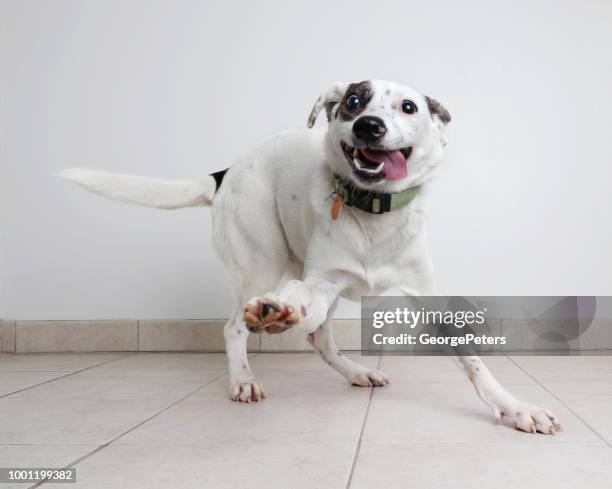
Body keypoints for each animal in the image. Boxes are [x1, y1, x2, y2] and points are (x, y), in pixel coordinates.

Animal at [63, 80, 564, 434]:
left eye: (408, 107)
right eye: (355, 100)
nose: (368, 126)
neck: (372, 209)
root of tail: (227, 170)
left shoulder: (428, 295)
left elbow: (473, 361)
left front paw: (516, 408)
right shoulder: (320, 281)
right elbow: (299, 302)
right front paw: (278, 310)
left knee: (318, 337)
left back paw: (356, 372)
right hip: (259, 260)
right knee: (236, 327)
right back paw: (244, 376)